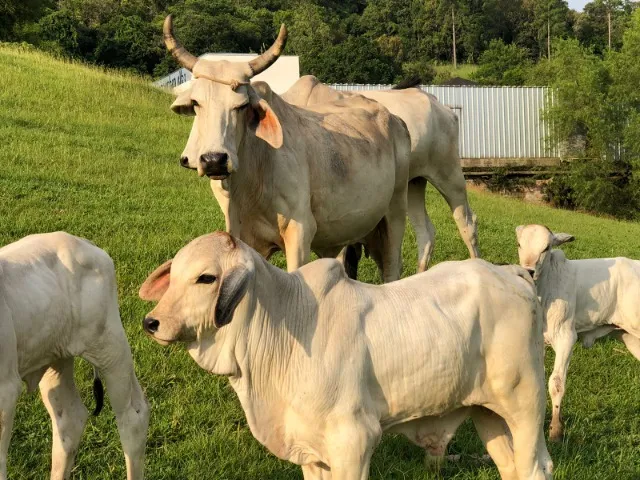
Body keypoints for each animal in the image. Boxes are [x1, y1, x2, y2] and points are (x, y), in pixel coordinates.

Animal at [0, 232, 149, 480]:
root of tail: (83, 242)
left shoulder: (5, 389)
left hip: (110, 346)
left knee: (133, 418)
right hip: (56, 357)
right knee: (70, 420)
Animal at [139, 231, 553, 480]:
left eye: (206, 278)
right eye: (174, 274)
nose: (152, 322)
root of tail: (512, 274)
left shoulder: (353, 440)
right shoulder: (312, 452)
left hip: (525, 404)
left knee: (536, 467)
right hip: (488, 412)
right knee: (512, 468)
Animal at [163, 15, 411, 282]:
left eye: (241, 105)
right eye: (196, 103)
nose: (214, 160)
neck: (251, 182)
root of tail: (395, 119)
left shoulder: (300, 231)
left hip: (395, 213)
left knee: (393, 266)